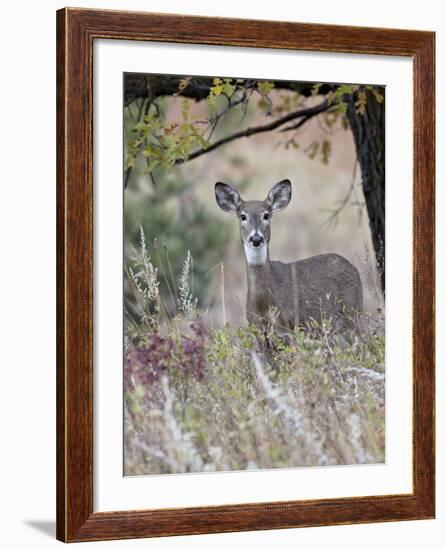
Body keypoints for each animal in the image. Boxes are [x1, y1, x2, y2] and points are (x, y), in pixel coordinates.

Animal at [214, 181, 364, 334]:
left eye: (266, 215)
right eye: (243, 216)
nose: (256, 238)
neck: (263, 304)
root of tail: (353, 267)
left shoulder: (287, 326)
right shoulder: (256, 327)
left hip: (353, 311)